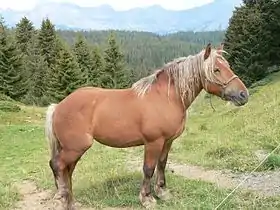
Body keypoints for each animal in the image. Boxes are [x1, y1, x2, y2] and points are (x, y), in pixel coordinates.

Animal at [44, 43, 248, 209]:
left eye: (228, 66)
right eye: (216, 70)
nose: (243, 94)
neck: (166, 98)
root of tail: (58, 106)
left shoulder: (167, 141)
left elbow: (162, 164)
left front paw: (162, 192)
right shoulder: (153, 142)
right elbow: (148, 168)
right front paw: (147, 198)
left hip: (73, 149)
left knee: (67, 169)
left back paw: (70, 202)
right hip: (76, 147)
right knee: (57, 165)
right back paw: (62, 199)